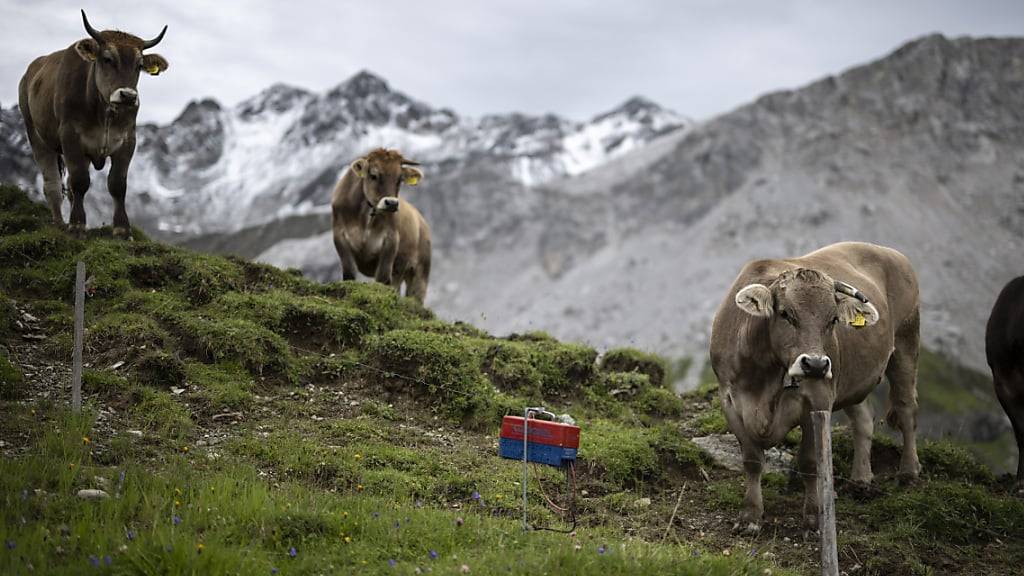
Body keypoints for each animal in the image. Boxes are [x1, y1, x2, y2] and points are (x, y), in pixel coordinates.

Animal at [18, 9, 168, 237]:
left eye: (139, 65)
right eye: (107, 58)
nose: (128, 96)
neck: (104, 112)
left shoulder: (127, 140)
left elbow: (117, 184)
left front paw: (122, 229)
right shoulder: (70, 136)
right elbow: (80, 181)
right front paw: (77, 226)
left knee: (68, 187)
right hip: (36, 135)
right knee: (52, 184)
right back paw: (60, 224)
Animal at [331, 147, 432, 303]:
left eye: (399, 179)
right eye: (373, 175)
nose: (392, 203)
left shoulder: (391, 240)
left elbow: (383, 278)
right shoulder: (339, 236)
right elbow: (349, 274)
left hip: (420, 273)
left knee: (414, 295)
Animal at [712, 239, 921, 532]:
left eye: (833, 319)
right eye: (785, 314)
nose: (816, 364)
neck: (763, 376)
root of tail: (888, 251)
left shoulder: (817, 399)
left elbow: (810, 463)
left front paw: (814, 516)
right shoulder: (729, 399)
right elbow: (752, 461)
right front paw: (750, 516)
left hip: (906, 343)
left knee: (906, 409)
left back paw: (909, 472)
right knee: (863, 420)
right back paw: (860, 480)